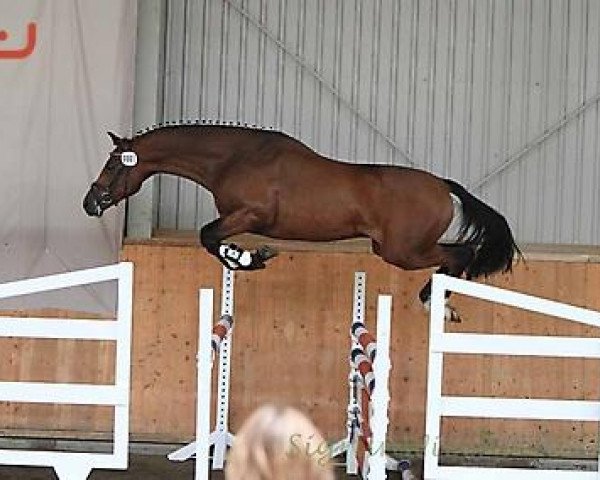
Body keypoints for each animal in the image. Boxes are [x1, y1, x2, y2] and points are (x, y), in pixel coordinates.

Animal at [83, 124, 520, 320]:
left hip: (403, 251)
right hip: (394, 249)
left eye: (112, 166)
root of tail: (443, 186)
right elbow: (210, 239)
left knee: (460, 255)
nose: (90, 203)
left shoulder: (251, 214)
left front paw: (249, 258)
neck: (233, 158)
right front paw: (247, 258)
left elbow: (209, 236)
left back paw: (437, 305)